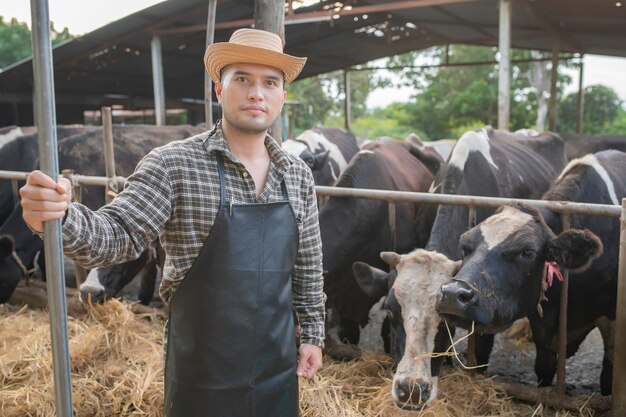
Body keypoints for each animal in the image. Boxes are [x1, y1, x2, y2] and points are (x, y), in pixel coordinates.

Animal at [434, 150, 624, 394]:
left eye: (527, 252)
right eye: (465, 245)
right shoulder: (541, 316)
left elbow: (609, 376)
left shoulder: (612, 318)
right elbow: (544, 368)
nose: (451, 294)